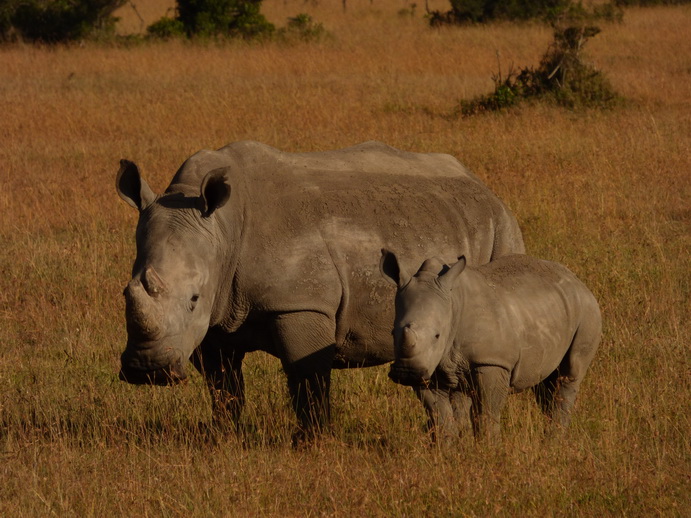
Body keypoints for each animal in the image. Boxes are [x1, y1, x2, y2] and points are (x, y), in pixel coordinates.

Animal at [382, 252, 604, 442]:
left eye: (437, 335)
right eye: (392, 333)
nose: (406, 372)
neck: (453, 302)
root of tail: (576, 279)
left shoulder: (492, 361)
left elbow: (487, 410)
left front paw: (489, 448)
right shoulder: (429, 365)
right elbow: (439, 413)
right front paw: (447, 450)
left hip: (587, 310)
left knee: (569, 374)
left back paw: (554, 442)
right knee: (545, 382)